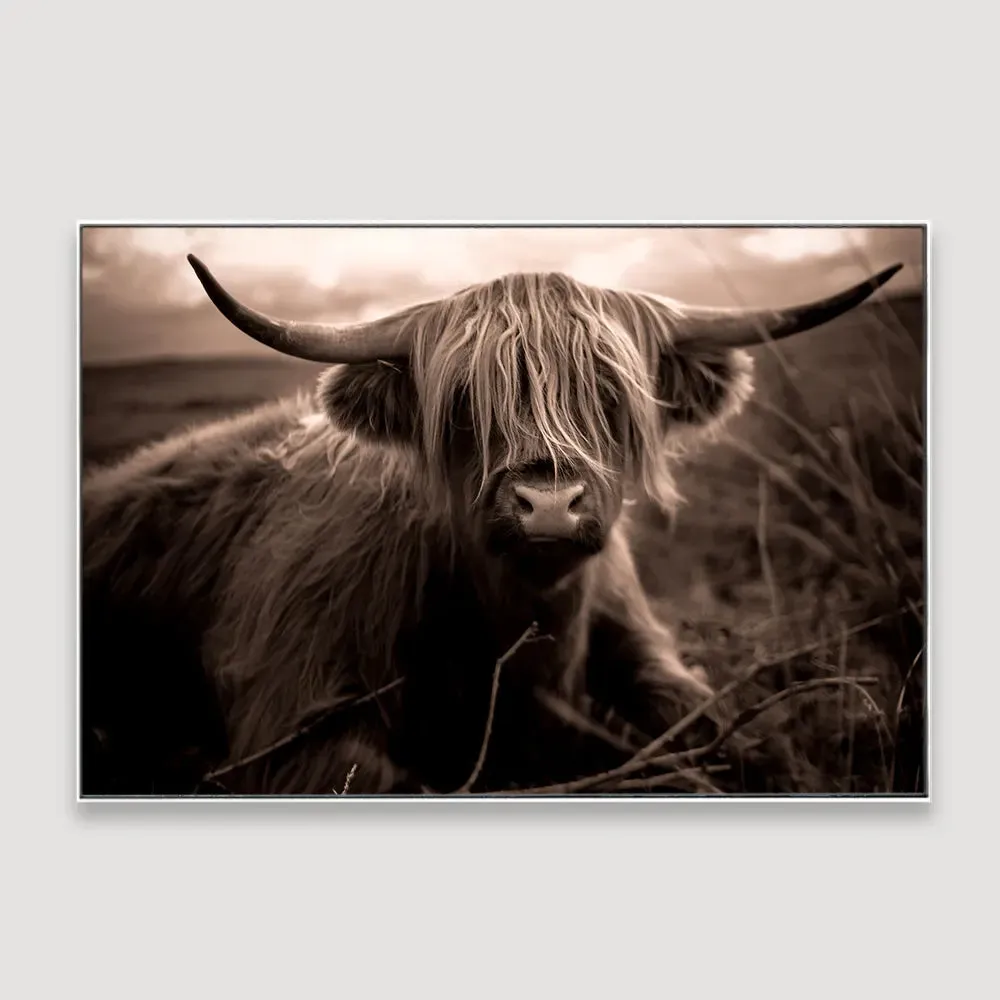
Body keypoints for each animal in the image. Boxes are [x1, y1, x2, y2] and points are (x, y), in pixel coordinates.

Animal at [80, 252, 903, 796]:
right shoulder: (291, 712)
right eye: (465, 404)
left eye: (612, 398)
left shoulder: (641, 644)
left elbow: (724, 728)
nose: (549, 503)